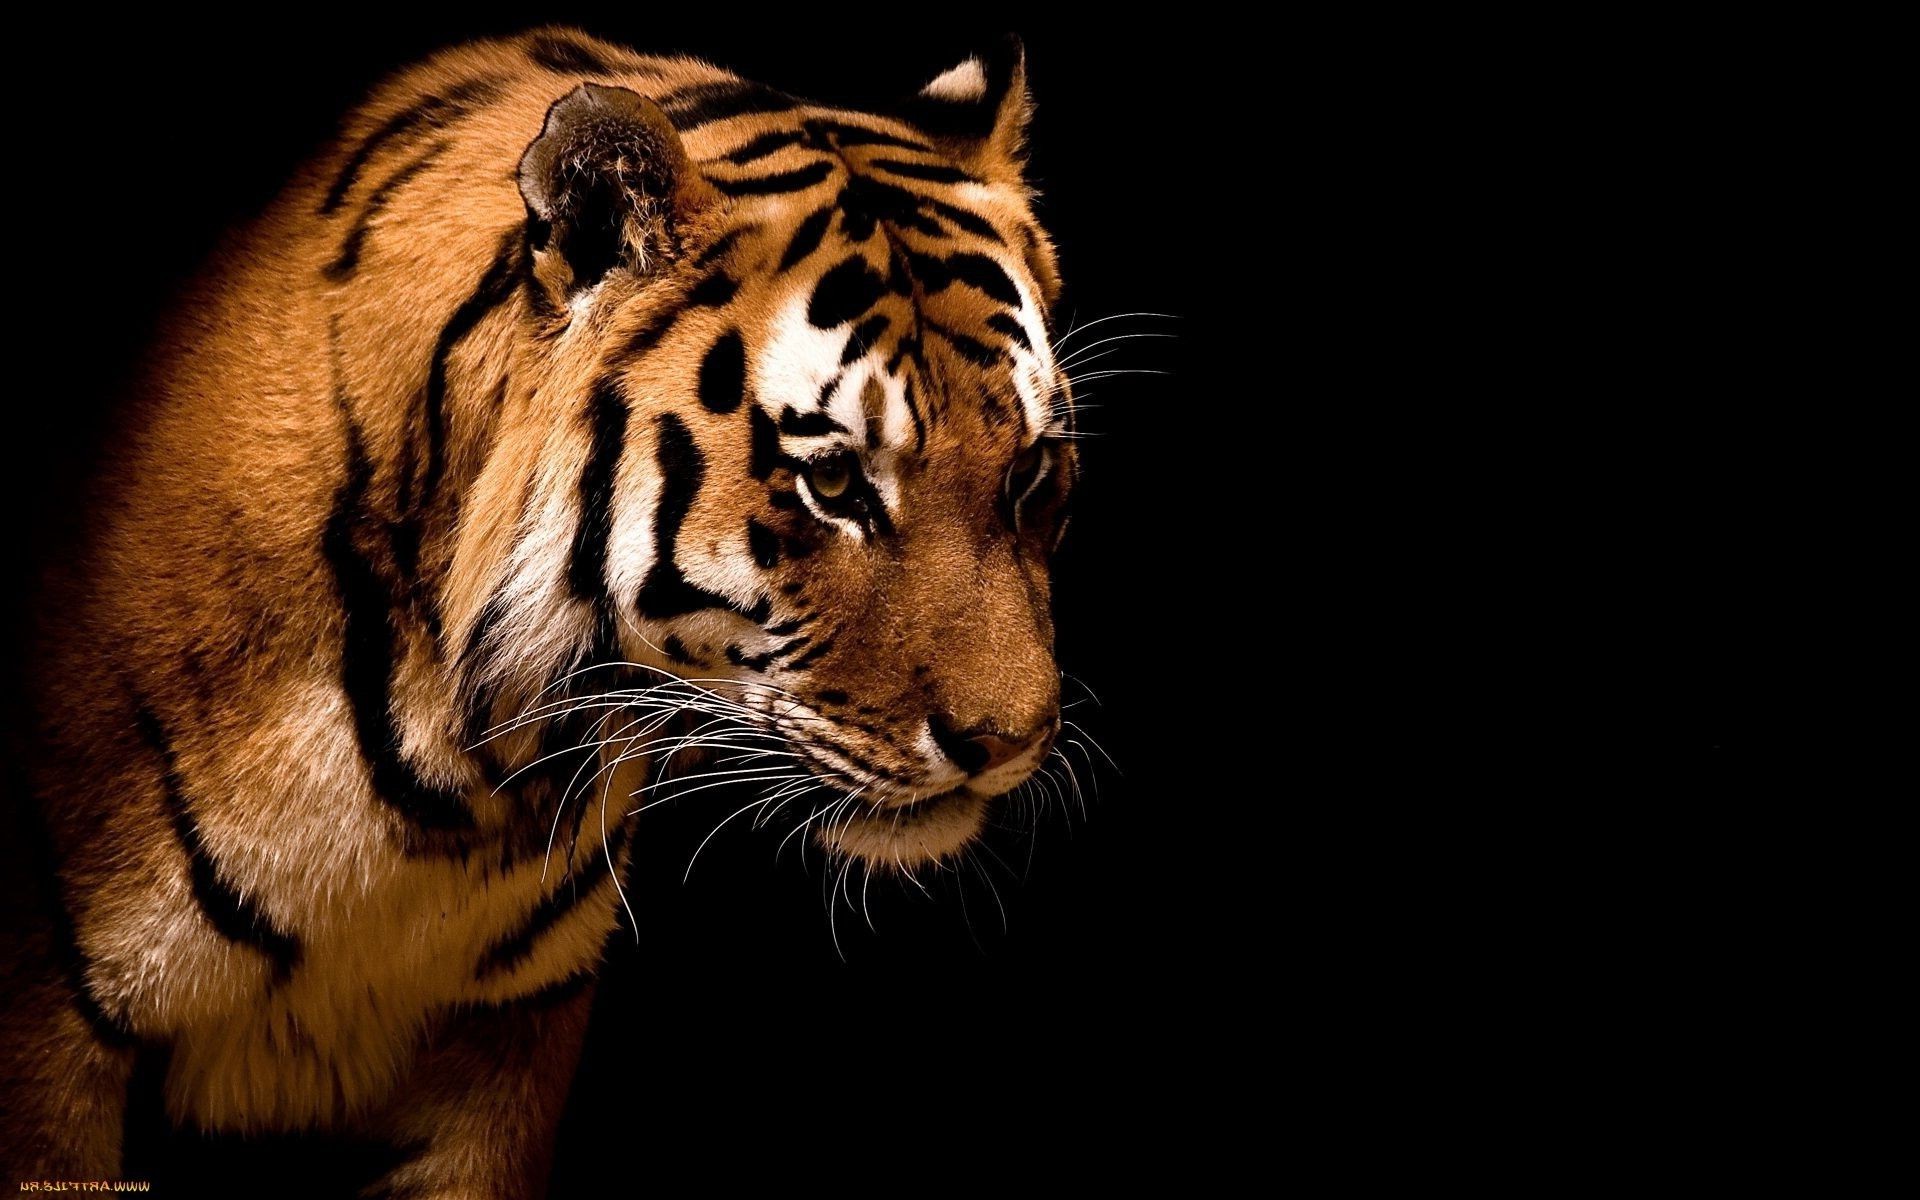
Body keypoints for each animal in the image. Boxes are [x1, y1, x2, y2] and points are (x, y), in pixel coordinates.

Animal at [0, 26, 1079, 1193]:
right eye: (833, 483)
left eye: (1031, 473)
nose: (1009, 744)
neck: (459, 783)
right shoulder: (51, 1029)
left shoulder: (506, 1036)